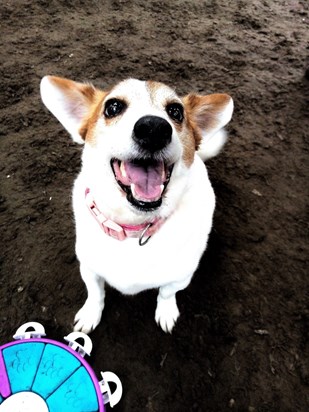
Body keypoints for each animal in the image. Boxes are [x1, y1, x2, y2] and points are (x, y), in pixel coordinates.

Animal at [39, 75, 232, 334]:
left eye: (176, 111)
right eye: (112, 107)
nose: (154, 128)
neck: (133, 228)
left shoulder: (181, 277)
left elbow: (166, 293)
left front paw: (166, 311)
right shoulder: (89, 269)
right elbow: (95, 293)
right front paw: (90, 313)